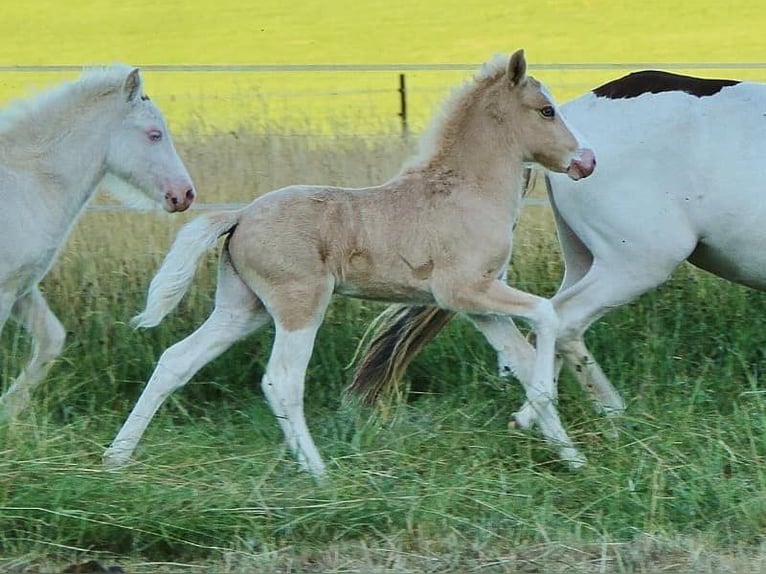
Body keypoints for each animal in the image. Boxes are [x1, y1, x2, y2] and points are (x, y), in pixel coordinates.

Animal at [0, 65, 195, 421]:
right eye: (154, 134)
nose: (185, 194)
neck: (28, 182)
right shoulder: (4, 289)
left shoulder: (22, 288)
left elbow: (52, 340)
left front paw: (8, 412)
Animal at [102, 50, 596, 479]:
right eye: (547, 110)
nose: (586, 161)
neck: (466, 192)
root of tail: (240, 216)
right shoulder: (465, 290)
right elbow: (545, 315)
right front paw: (543, 418)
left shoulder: (478, 307)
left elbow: (525, 361)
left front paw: (573, 459)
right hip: (300, 306)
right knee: (281, 381)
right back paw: (320, 475)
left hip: (241, 309)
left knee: (176, 360)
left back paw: (116, 458)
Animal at [349, 69, 763, 466]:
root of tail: (578, 141)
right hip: (638, 260)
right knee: (564, 320)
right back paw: (595, 416)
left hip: (587, 259)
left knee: (543, 330)